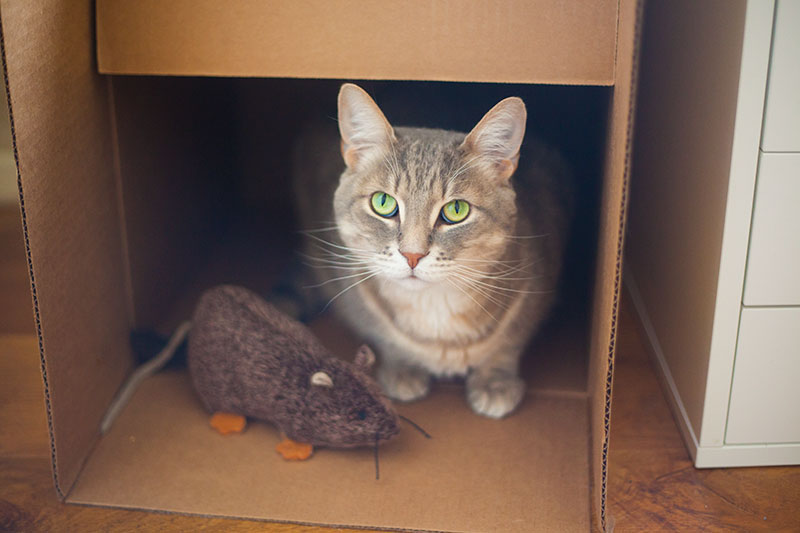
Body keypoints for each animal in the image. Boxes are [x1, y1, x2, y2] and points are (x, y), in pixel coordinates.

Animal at [292, 83, 568, 418]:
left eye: (456, 210)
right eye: (382, 203)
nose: (412, 255)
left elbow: (509, 342)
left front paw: (495, 380)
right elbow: (383, 335)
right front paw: (402, 367)